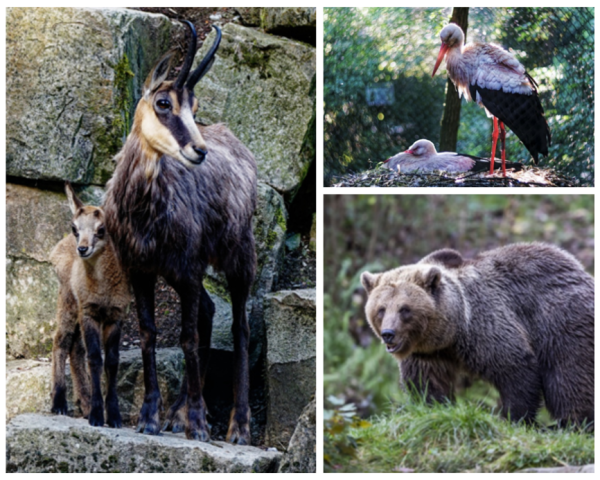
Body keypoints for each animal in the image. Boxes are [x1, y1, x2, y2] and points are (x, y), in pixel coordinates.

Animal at [360, 244, 596, 428]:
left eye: (404, 309)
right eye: (381, 309)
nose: (388, 334)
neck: (451, 333)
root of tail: (584, 274)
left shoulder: (483, 323)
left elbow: (515, 366)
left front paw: (514, 418)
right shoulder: (427, 353)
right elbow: (427, 382)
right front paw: (433, 407)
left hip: (561, 318)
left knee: (568, 373)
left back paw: (573, 422)